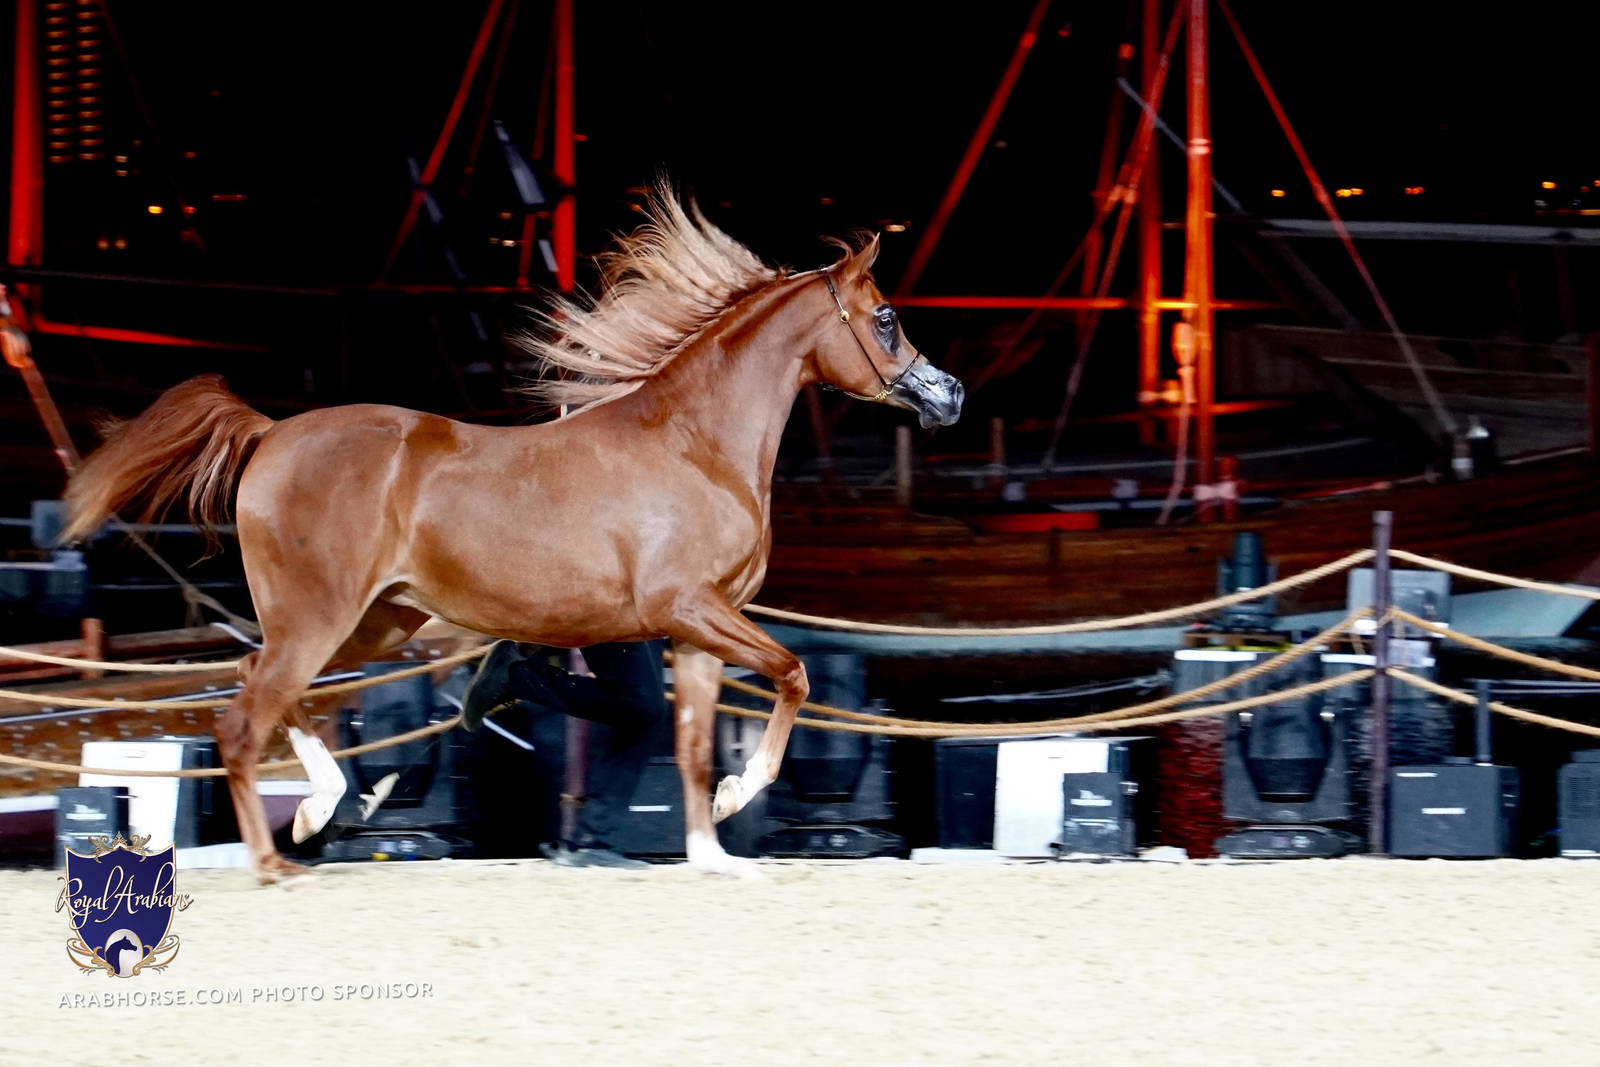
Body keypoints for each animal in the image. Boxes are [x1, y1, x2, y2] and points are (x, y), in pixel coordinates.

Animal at [61, 193, 964, 882]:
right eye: (886, 317)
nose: (948, 394)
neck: (695, 443)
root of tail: (272, 433)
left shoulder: (696, 629)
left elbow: (692, 742)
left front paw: (715, 848)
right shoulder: (691, 608)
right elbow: (794, 674)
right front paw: (741, 799)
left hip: (375, 619)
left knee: (271, 688)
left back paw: (325, 808)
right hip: (320, 617)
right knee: (246, 717)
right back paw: (279, 860)